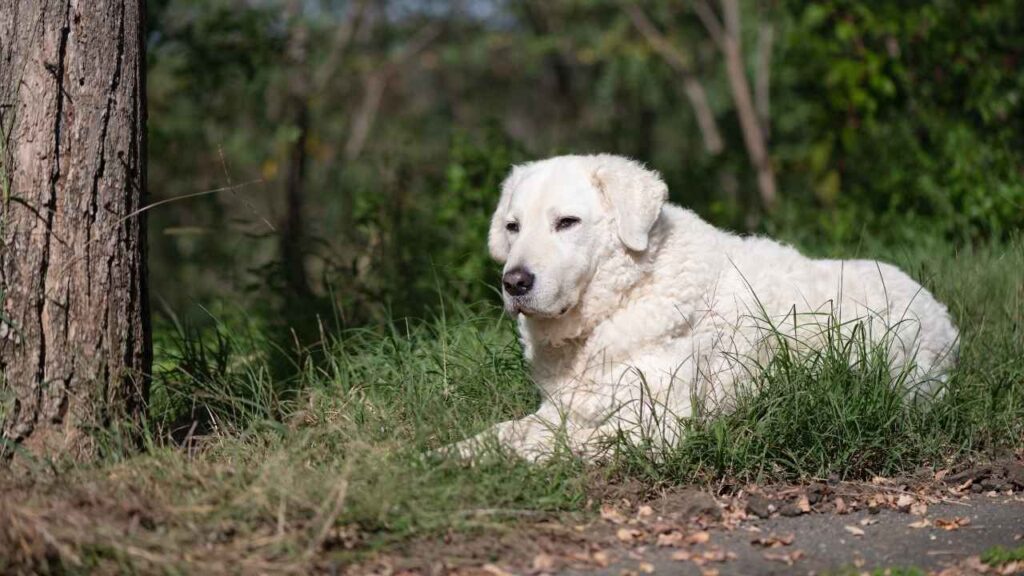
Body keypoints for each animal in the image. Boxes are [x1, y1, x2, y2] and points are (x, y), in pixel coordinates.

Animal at [452, 154, 954, 459]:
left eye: (567, 223)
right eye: (513, 227)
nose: (514, 282)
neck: (628, 295)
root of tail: (940, 310)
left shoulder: (652, 426)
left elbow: (540, 447)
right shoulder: (563, 408)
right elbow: (501, 434)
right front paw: (446, 456)